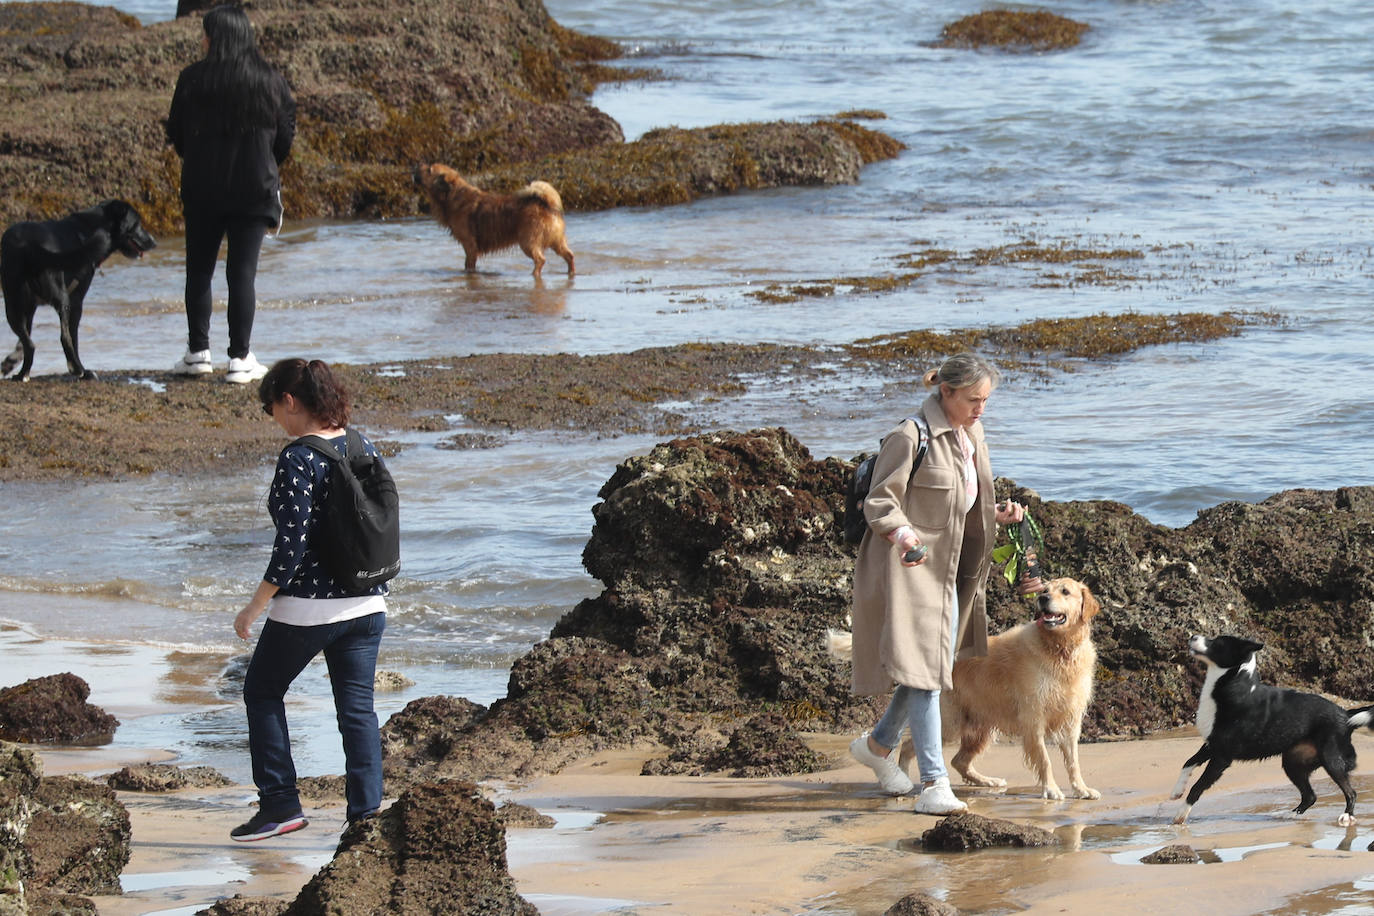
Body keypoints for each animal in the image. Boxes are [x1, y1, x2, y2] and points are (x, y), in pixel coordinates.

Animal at [0, 201, 155, 384]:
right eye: (137, 224)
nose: (154, 242)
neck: (86, 230)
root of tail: (27, 245)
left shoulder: (30, 307)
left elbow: (22, 342)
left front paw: (11, 363)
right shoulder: (76, 302)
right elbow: (73, 339)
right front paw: (83, 371)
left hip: (12, 303)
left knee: (29, 343)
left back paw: (22, 374)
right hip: (62, 299)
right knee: (64, 338)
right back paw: (78, 369)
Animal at [412, 164, 574, 277]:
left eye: (430, 170)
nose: (415, 167)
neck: (452, 195)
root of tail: (546, 203)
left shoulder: (470, 245)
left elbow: (469, 264)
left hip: (528, 242)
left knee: (541, 260)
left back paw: (534, 274)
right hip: (557, 242)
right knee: (569, 255)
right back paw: (571, 272)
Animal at [1170, 637, 1374, 823]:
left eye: (1218, 643)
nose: (1193, 637)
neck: (1233, 686)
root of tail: (1346, 715)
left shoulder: (1222, 757)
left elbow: (1197, 787)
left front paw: (1180, 816)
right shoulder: (1211, 744)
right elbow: (1188, 762)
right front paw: (1176, 791)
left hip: (1332, 760)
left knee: (1351, 792)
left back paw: (1347, 815)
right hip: (1293, 763)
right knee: (1310, 796)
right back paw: (1291, 814)